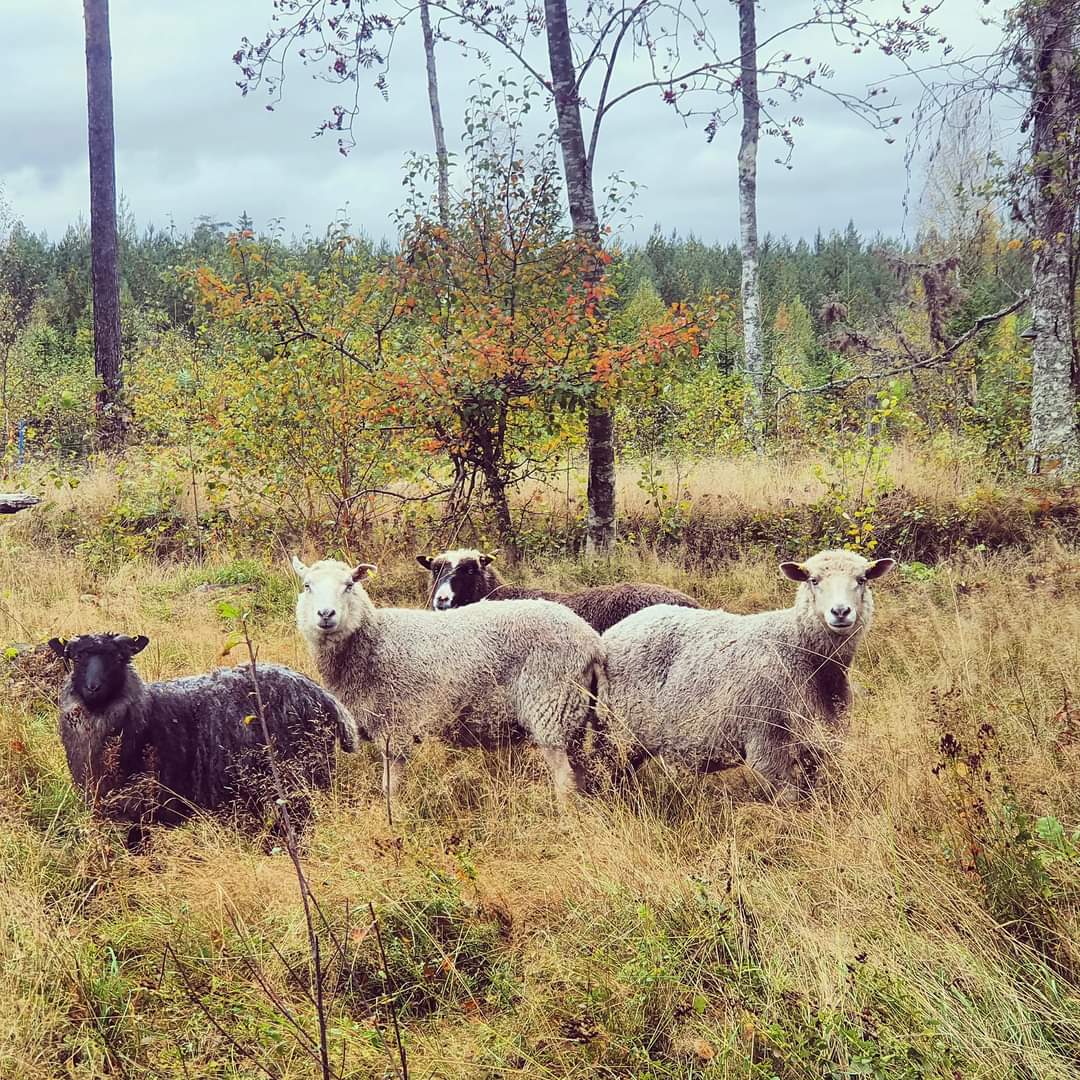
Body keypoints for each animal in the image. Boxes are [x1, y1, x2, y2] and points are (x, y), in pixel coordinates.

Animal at [48, 630, 358, 842]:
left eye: (119, 658)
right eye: (76, 657)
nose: (93, 688)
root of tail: (325, 697)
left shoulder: (147, 810)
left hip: (305, 777)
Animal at [289, 561, 609, 799]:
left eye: (349, 585)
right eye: (307, 586)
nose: (325, 614)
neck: (374, 640)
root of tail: (592, 641)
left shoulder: (396, 727)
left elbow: (390, 789)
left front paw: (396, 821)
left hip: (551, 705)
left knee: (565, 780)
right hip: (573, 713)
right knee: (579, 773)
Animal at [600, 552, 894, 799]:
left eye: (862, 580)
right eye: (813, 580)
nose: (841, 612)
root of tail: (614, 632)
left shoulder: (819, 743)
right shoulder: (768, 743)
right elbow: (789, 799)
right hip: (617, 730)